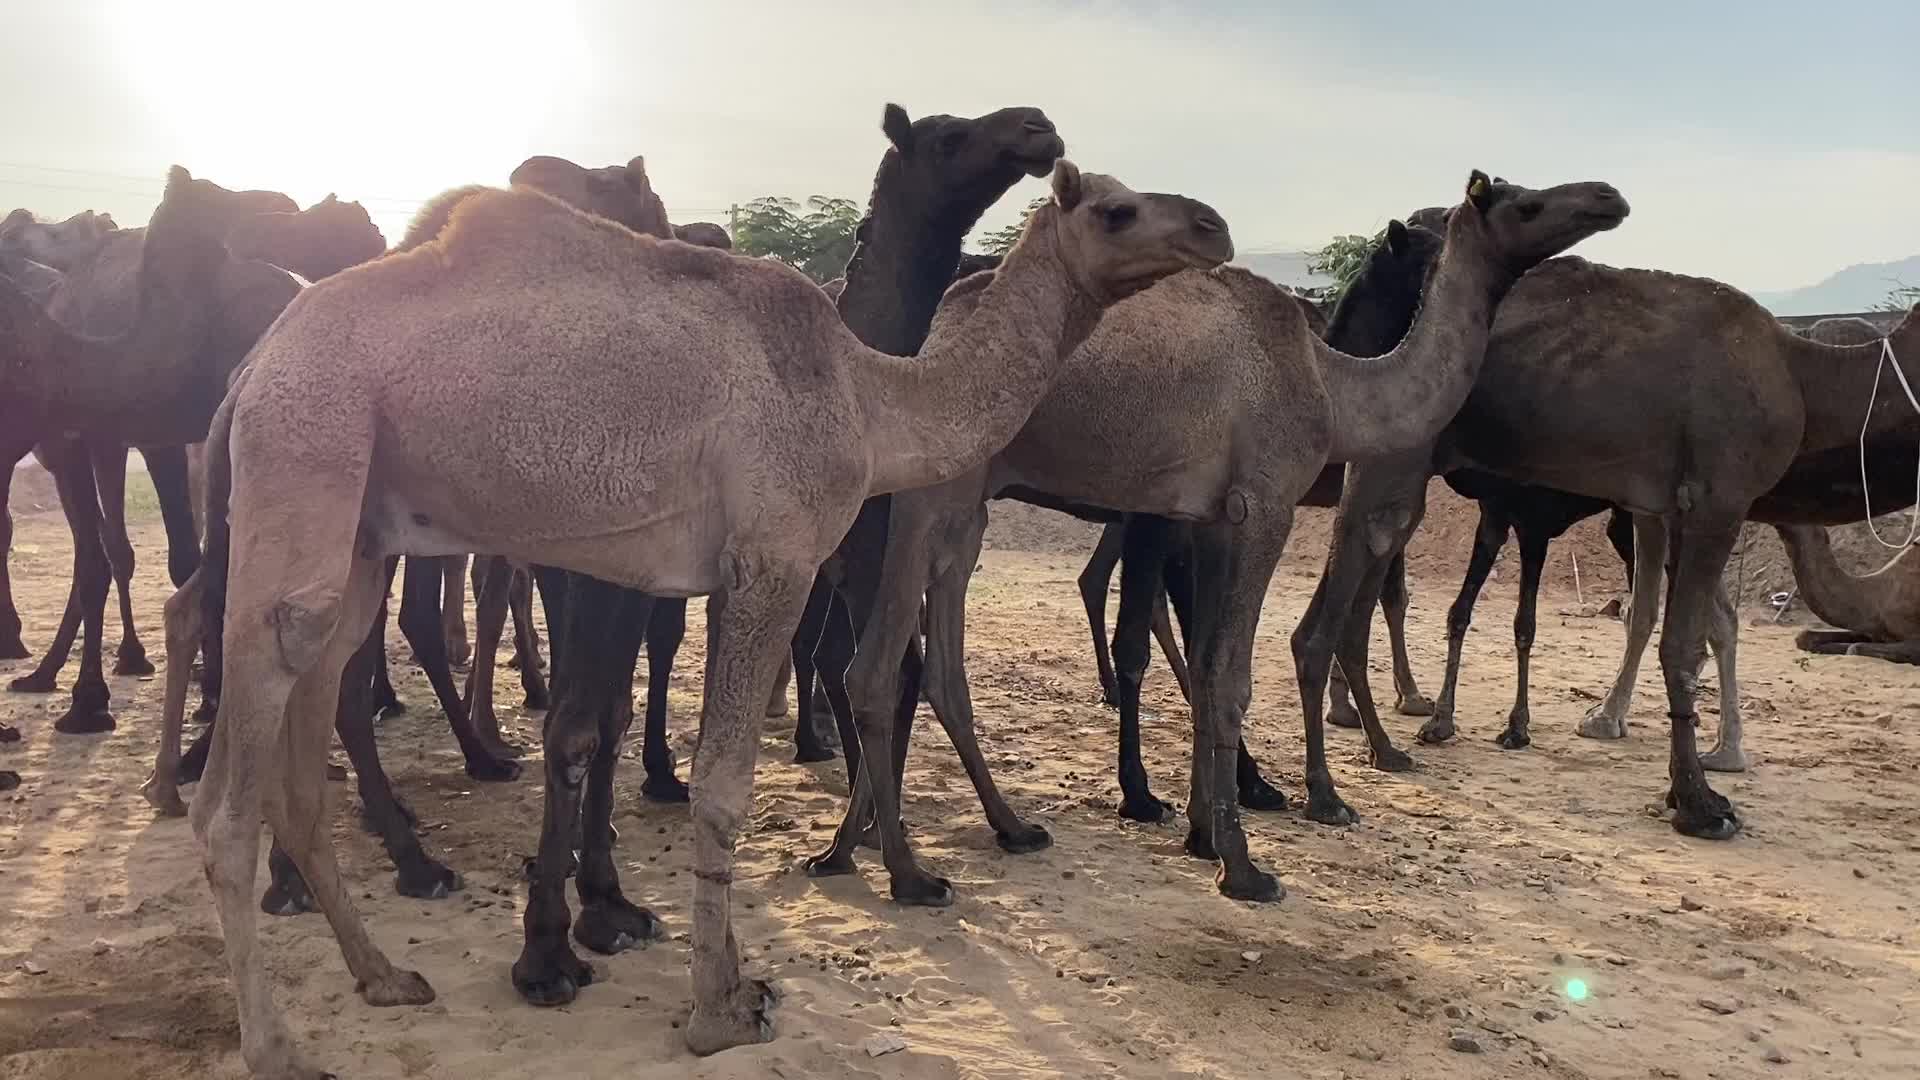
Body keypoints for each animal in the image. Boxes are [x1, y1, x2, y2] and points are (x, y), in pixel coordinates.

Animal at [192, 156, 1216, 1075]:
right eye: (1118, 210)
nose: (1212, 226)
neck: (868, 395)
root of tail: (249, 370)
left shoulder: (730, 574)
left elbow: (709, 769)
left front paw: (724, 977)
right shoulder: (776, 559)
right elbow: (722, 785)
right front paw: (721, 1010)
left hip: (362, 529)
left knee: (307, 740)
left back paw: (384, 976)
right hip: (304, 449)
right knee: (232, 787)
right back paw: (279, 1047)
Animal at [807, 172, 1625, 912]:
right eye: (1527, 203)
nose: (1608, 197)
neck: (1334, 384)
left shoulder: (1208, 517)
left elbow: (1202, 664)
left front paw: (1203, 831)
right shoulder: (1266, 501)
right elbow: (1232, 675)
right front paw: (1247, 865)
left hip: (970, 503)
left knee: (935, 664)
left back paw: (935, 836)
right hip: (935, 489)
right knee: (875, 666)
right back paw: (901, 868)